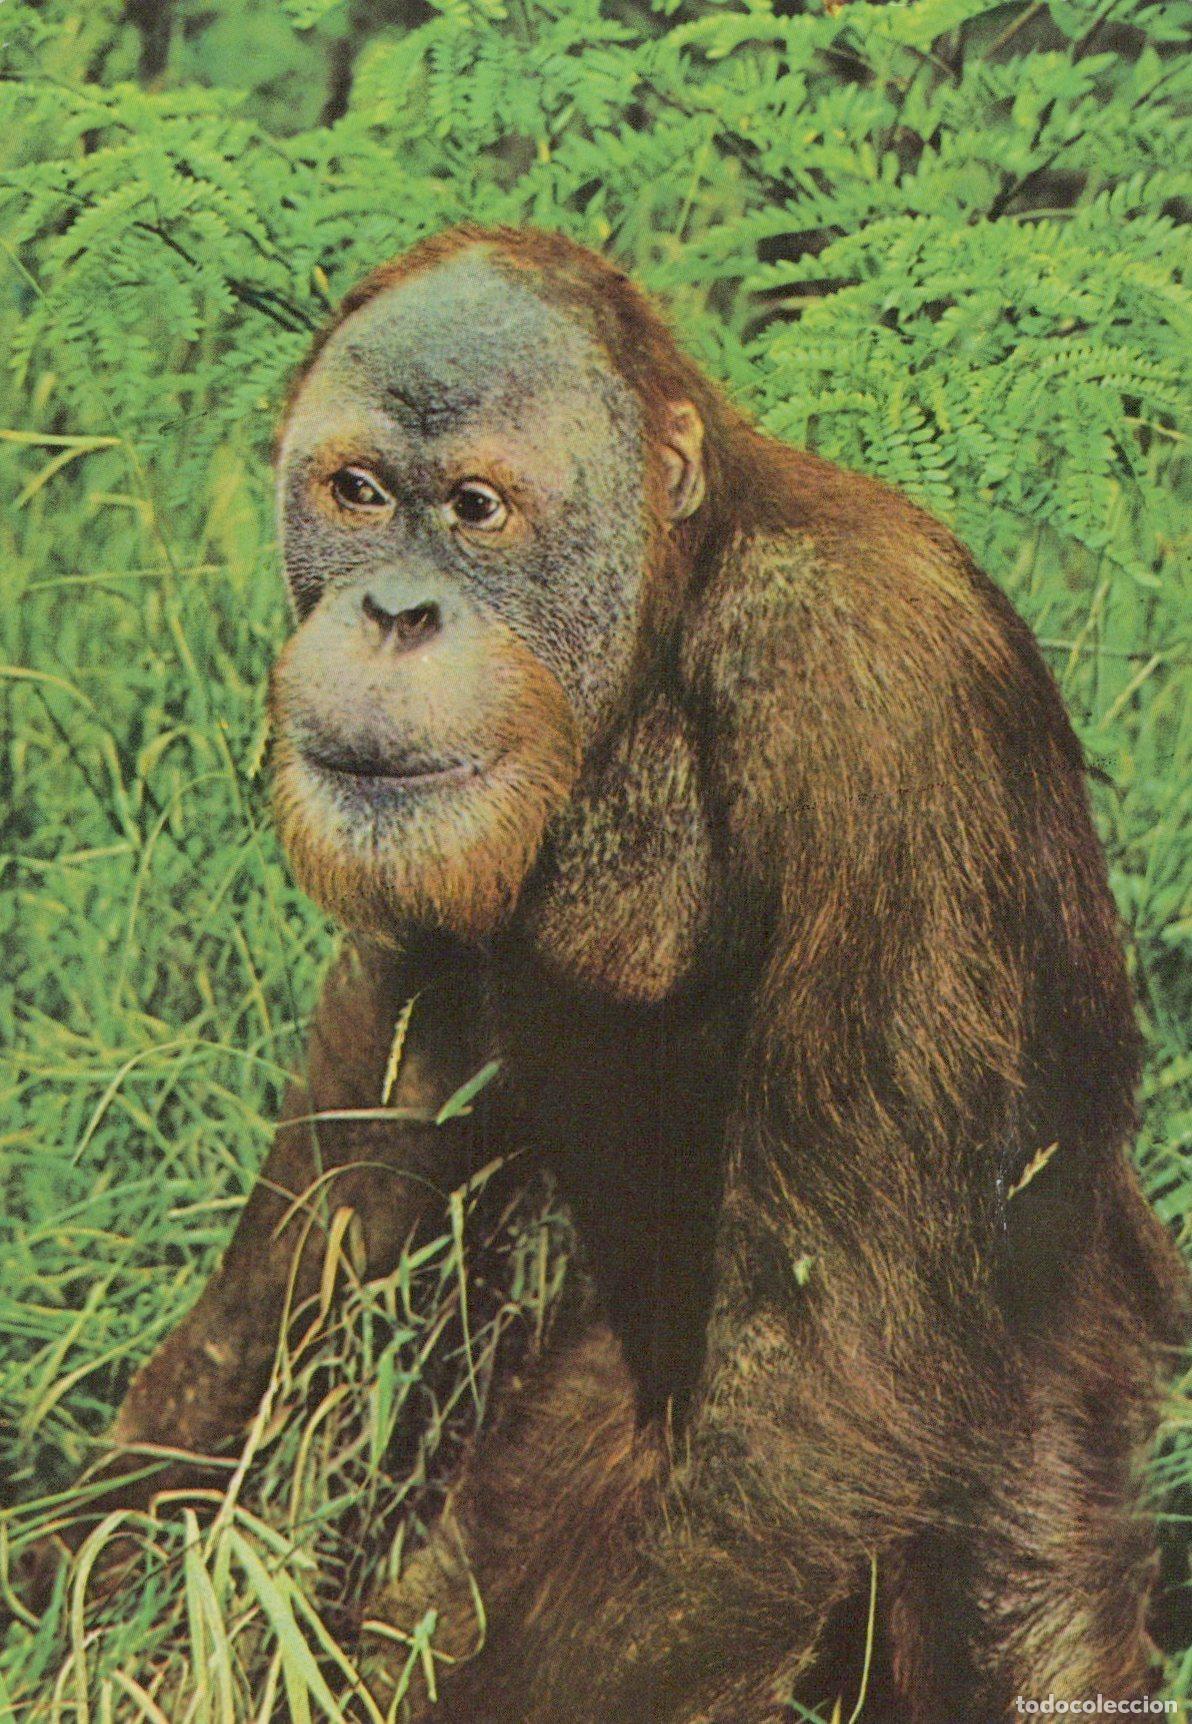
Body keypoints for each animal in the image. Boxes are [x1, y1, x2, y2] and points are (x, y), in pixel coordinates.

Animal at [26, 226, 1189, 1722]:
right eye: (357, 492)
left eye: (476, 509)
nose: (393, 610)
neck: (653, 647)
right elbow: (364, 1142)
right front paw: (85, 1574)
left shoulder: (886, 708)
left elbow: (821, 1376)